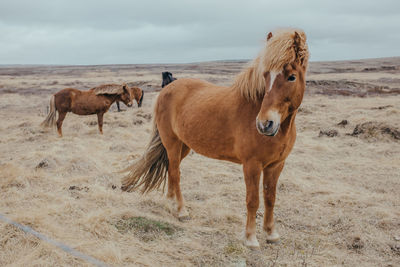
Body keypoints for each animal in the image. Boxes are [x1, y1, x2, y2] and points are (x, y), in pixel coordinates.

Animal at [122, 28, 310, 248]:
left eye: (291, 77)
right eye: (265, 76)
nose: (265, 124)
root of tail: (167, 89)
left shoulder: (276, 165)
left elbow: (270, 198)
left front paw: (271, 234)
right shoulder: (252, 165)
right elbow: (253, 200)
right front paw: (250, 239)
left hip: (183, 146)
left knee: (170, 169)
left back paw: (170, 203)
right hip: (172, 143)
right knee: (175, 173)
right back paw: (181, 211)